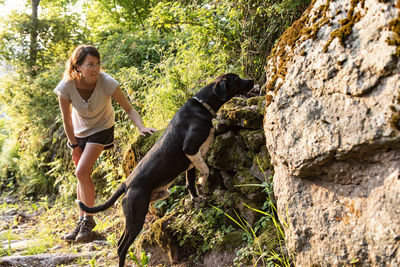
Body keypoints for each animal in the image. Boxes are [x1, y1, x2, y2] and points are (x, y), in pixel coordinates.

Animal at [77, 73, 253, 267]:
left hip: (156, 199)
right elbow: (205, 171)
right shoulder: (190, 149)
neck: (202, 105)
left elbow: (190, 184)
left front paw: (197, 197)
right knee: (121, 246)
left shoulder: (191, 162)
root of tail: (126, 183)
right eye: (236, 79)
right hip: (136, 218)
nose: (252, 81)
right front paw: (202, 185)